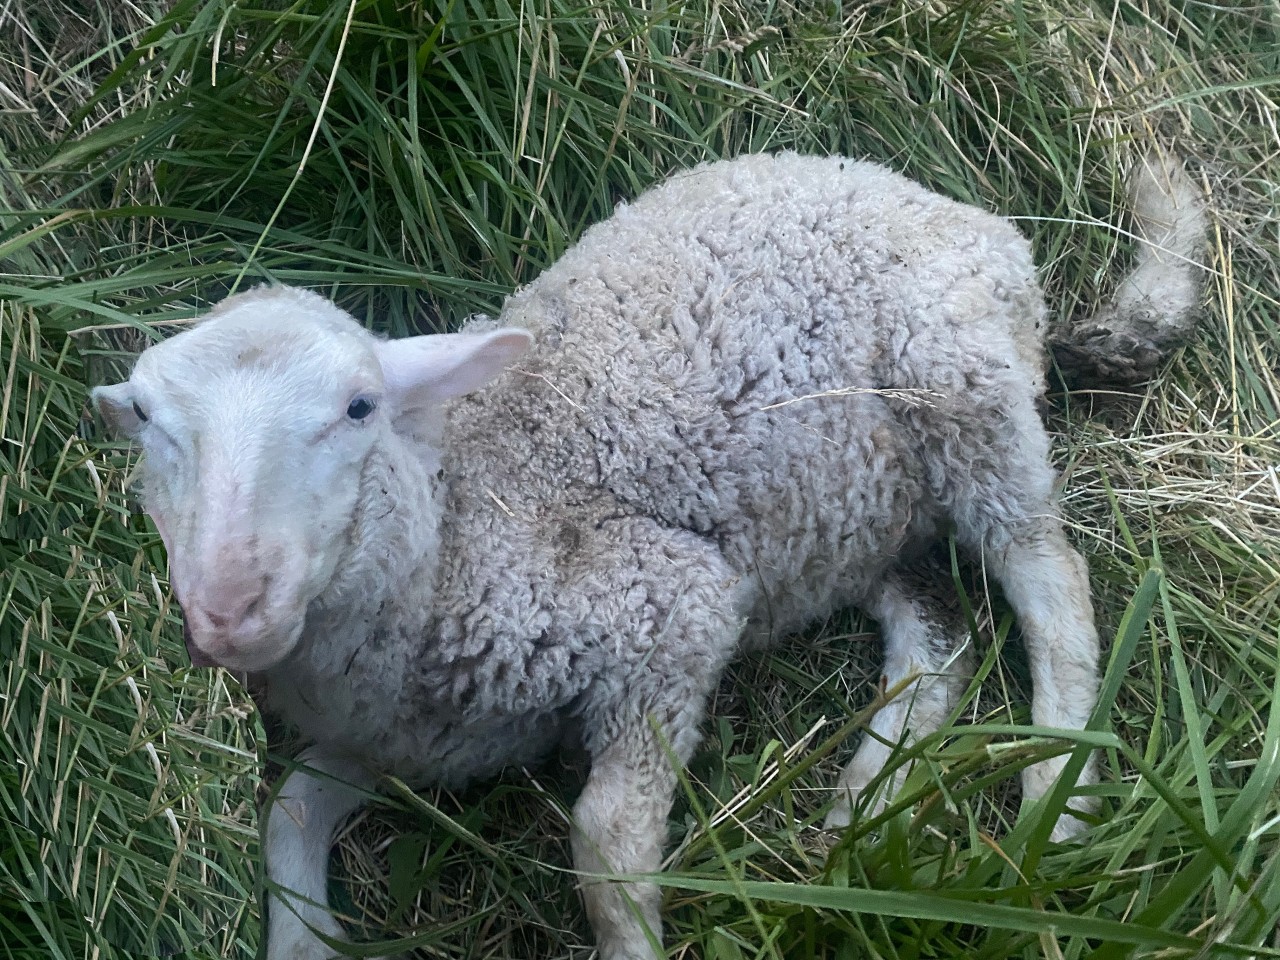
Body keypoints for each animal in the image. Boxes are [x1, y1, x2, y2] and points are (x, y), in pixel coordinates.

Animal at [94, 150, 1203, 960]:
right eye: (145, 419)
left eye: (359, 407)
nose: (228, 607)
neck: (456, 519)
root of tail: (971, 218)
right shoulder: (417, 737)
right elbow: (286, 814)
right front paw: (307, 939)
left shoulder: (671, 611)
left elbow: (605, 846)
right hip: (844, 517)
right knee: (934, 636)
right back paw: (859, 815)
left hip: (964, 397)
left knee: (1050, 585)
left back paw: (1051, 810)